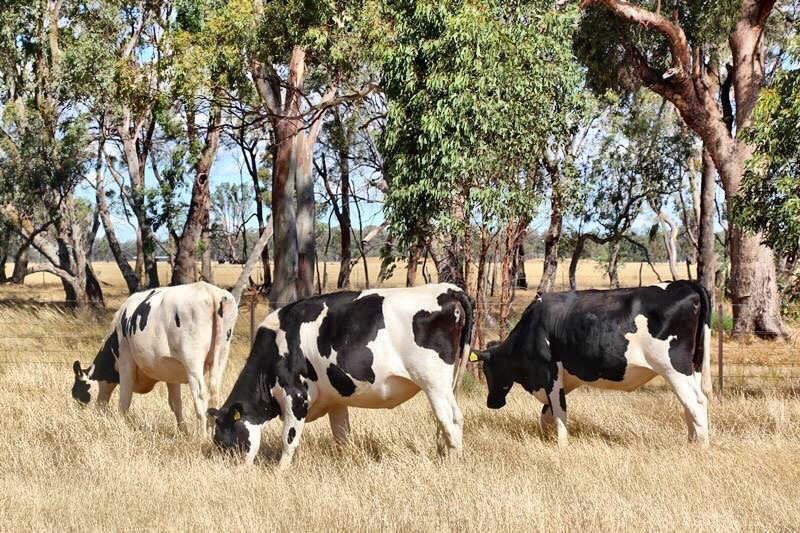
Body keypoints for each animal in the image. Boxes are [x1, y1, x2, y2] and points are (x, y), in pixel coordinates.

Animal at [71, 280, 238, 434]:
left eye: (78, 394)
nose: (82, 420)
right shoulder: (172, 371)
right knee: (215, 393)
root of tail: (210, 292)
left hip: (192, 359)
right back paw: (211, 434)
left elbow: (124, 399)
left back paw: (202, 436)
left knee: (200, 394)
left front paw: (121, 426)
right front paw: (183, 431)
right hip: (221, 355)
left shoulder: (126, 362)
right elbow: (176, 403)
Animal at [206, 282, 476, 466]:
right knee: (444, 421)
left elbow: (289, 439)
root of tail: (448, 289)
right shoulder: (335, 400)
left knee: (451, 419)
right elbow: (342, 437)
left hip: (433, 381)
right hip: (447, 381)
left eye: (223, 441)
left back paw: (452, 463)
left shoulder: (295, 397)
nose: (230, 470)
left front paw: (280, 471)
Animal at [472, 280, 708, 446]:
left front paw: (561, 445)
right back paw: (691, 441)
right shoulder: (563, 379)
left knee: (696, 402)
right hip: (693, 368)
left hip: (673, 367)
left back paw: (700, 447)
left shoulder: (550, 373)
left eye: (488, 370)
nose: (492, 403)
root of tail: (685, 283)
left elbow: (559, 412)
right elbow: (546, 413)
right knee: (690, 404)